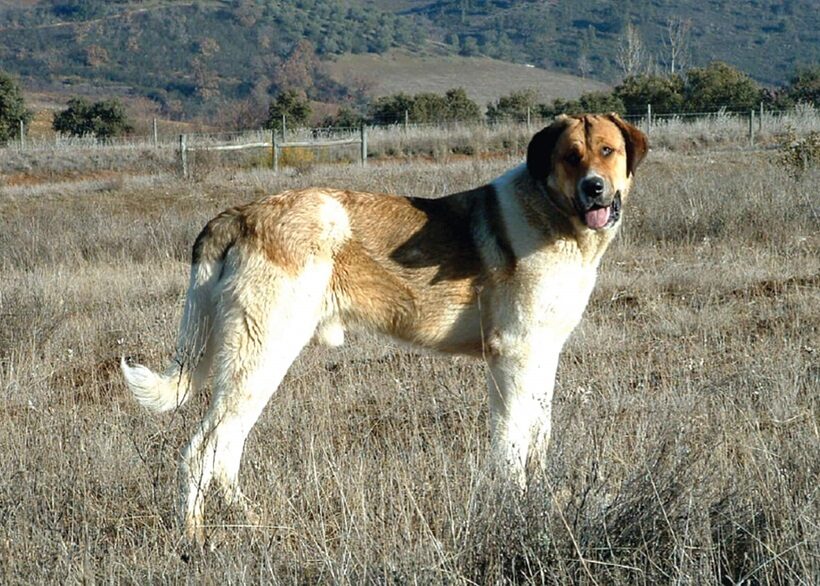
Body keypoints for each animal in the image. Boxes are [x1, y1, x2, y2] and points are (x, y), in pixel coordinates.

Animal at [121, 110, 648, 540]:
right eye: (570, 157)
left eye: (607, 151)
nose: (594, 188)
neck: (555, 217)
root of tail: (242, 215)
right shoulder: (513, 357)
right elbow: (512, 446)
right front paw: (517, 510)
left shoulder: (541, 357)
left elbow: (539, 437)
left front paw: (539, 500)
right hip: (261, 356)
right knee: (203, 449)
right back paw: (194, 538)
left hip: (254, 367)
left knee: (225, 451)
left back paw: (252, 523)